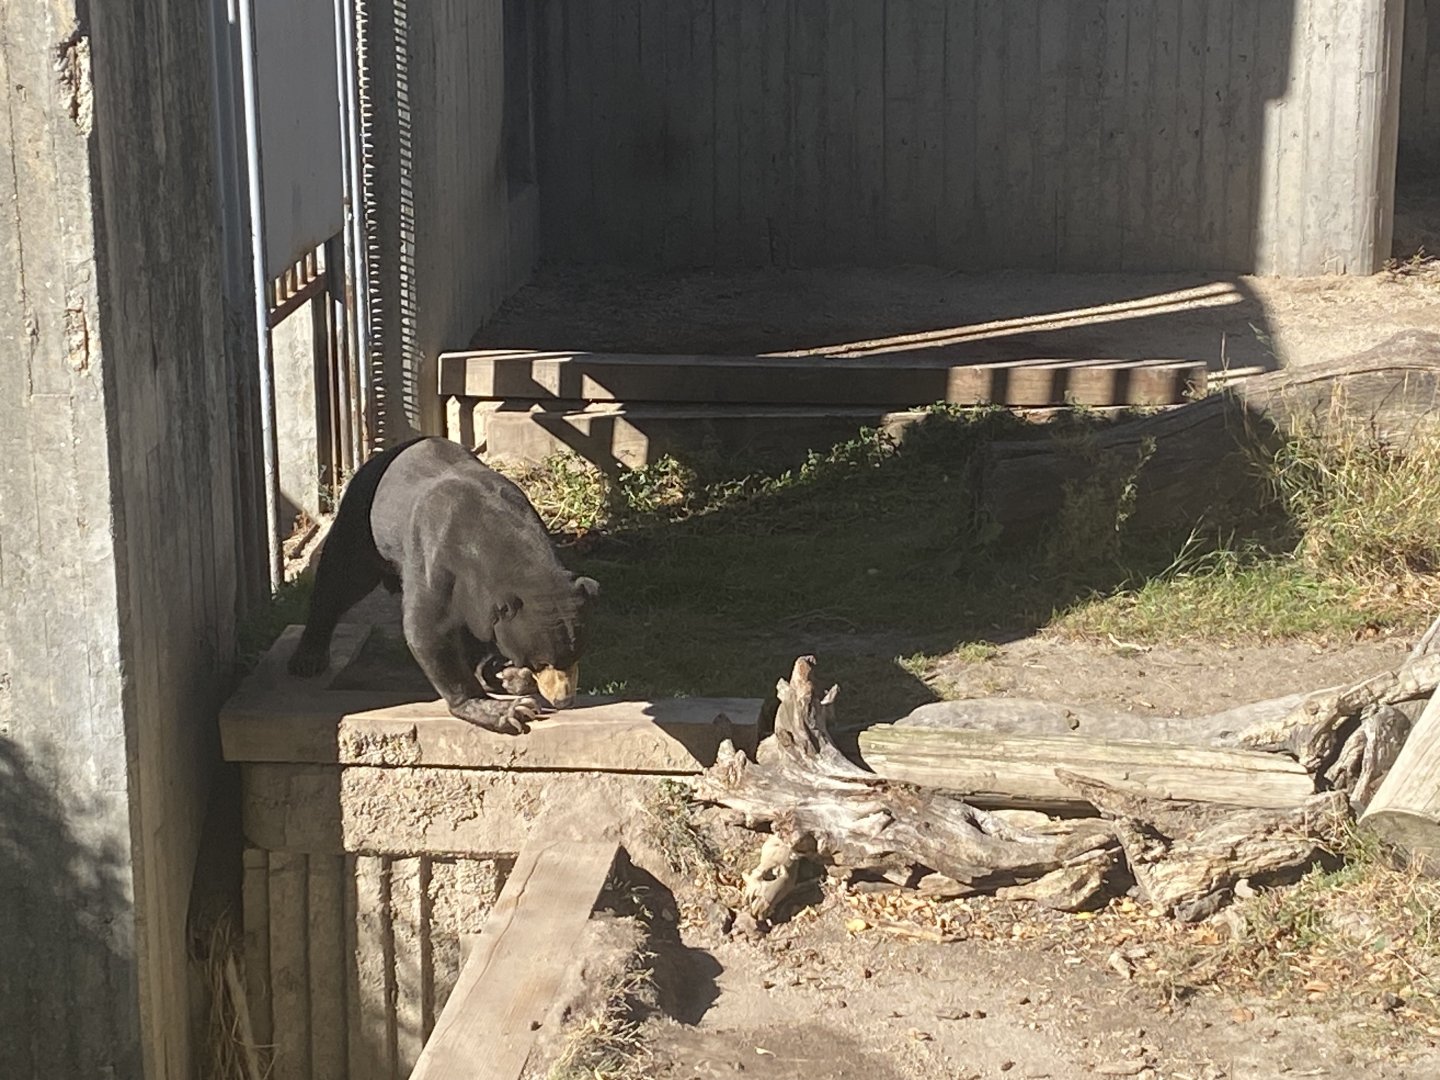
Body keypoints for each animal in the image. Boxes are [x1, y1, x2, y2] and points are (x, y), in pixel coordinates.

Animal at [287, 436, 599, 735]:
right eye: (541, 661)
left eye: (577, 653)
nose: (563, 700)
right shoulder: (438, 557)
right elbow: (427, 630)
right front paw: (506, 710)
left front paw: (508, 674)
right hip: (364, 523)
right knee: (339, 579)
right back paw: (308, 657)